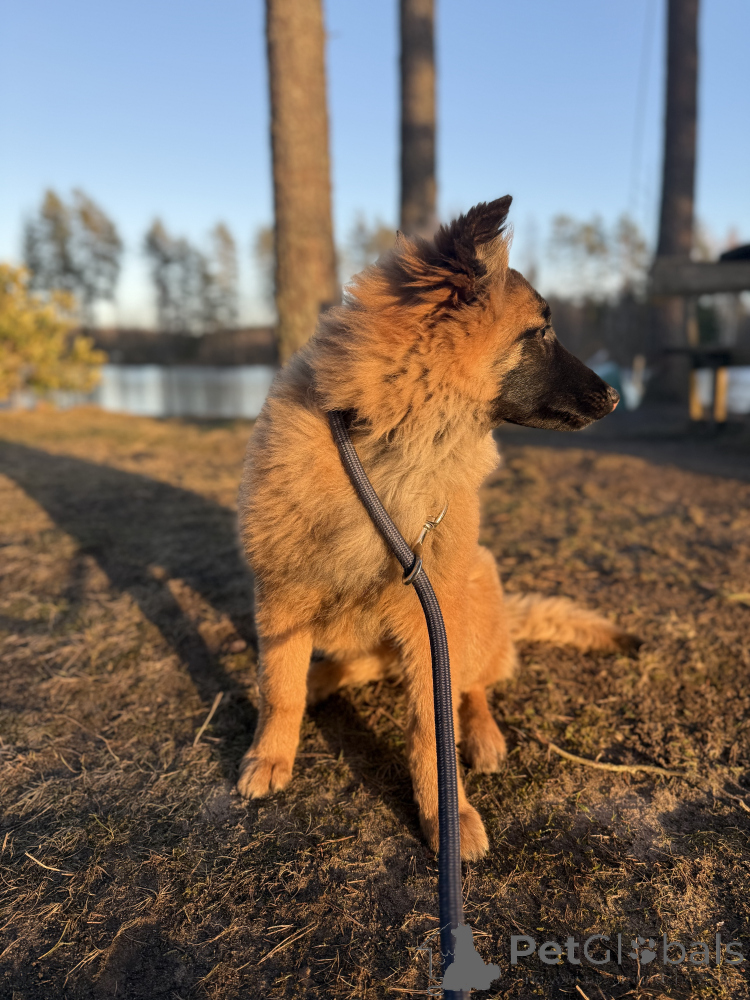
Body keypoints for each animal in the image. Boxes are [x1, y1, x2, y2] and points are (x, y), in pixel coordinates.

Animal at [236, 196, 637, 859]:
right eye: (541, 332)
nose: (615, 398)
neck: (387, 449)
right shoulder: (282, 597)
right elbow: (280, 689)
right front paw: (270, 757)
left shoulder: (430, 624)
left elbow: (431, 724)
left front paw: (445, 814)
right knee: (364, 666)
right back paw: (325, 678)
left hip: (468, 596)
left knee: (472, 686)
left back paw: (482, 735)